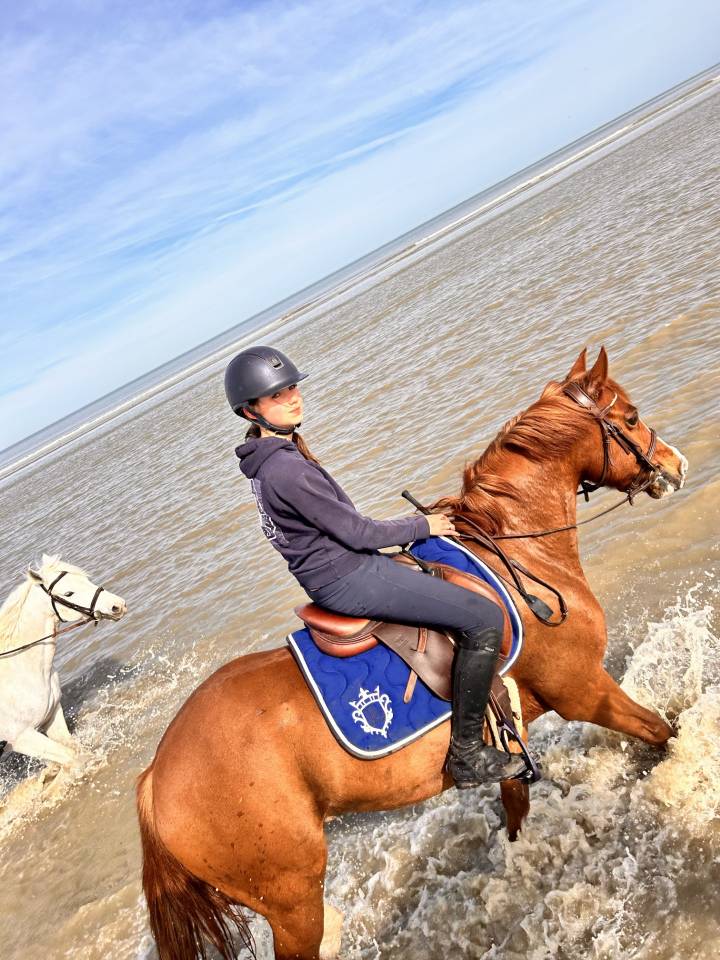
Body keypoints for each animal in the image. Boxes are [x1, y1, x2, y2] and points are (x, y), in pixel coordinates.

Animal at [0, 554, 127, 767]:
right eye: (69, 593)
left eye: (86, 579)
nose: (117, 605)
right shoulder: (22, 738)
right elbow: (73, 758)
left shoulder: (52, 716)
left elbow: (73, 748)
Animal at [136, 347, 688, 960]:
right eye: (631, 417)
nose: (677, 465)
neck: (516, 557)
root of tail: (155, 778)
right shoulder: (585, 692)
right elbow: (659, 730)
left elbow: (516, 813)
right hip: (291, 900)